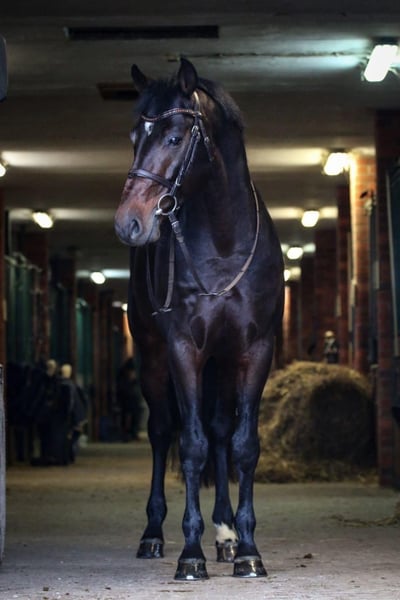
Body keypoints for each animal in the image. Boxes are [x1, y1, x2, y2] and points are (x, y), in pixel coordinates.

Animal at [114, 58, 284, 581]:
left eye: (173, 137)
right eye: (134, 135)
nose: (128, 222)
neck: (224, 246)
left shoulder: (253, 351)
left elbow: (242, 445)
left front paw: (248, 550)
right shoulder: (183, 351)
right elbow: (190, 446)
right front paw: (191, 554)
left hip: (223, 363)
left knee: (220, 432)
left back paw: (226, 535)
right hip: (153, 360)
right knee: (162, 431)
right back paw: (153, 535)